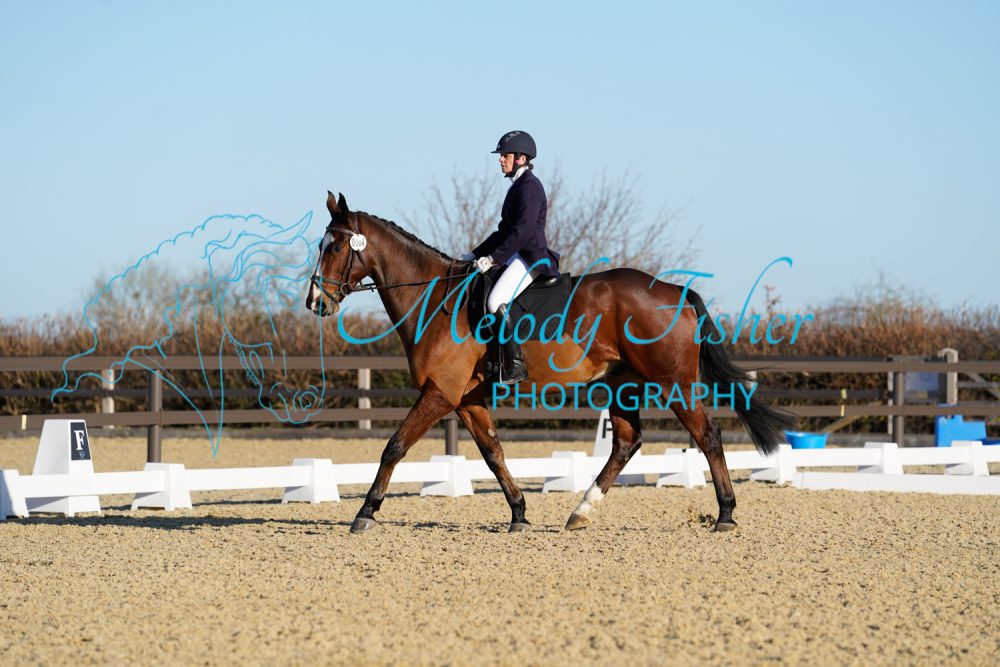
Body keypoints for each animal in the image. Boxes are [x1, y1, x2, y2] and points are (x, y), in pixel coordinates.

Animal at [306, 191, 793, 534]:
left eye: (335, 248)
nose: (315, 303)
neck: (436, 298)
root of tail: (675, 291)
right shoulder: (466, 398)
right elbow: (493, 453)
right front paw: (519, 514)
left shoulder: (440, 393)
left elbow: (394, 446)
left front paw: (365, 513)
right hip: (623, 384)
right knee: (626, 442)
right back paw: (580, 512)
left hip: (673, 382)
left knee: (707, 435)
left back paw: (725, 514)